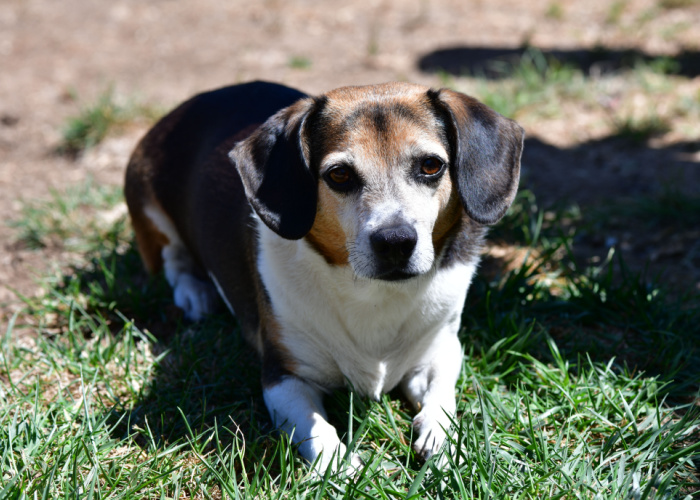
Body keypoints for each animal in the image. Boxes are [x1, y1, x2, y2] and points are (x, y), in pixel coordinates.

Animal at [123, 80, 524, 470]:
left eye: (430, 166)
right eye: (340, 174)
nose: (395, 242)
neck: (373, 293)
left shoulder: (441, 349)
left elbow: (442, 396)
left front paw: (442, 440)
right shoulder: (284, 376)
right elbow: (317, 429)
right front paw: (339, 465)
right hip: (149, 206)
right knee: (173, 257)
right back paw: (194, 291)